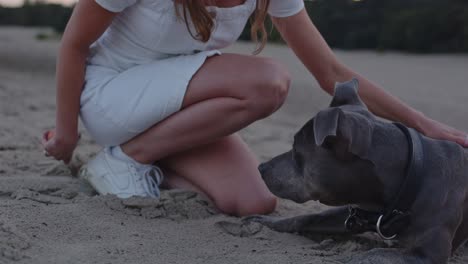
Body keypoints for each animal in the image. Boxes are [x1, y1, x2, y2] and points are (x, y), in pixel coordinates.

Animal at [247, 79, 466, 264]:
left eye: (295, 151)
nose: (260, 167)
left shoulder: (428, 254)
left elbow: (374, 253)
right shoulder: (354, 213)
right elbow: (307, 217)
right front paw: (266, 221)